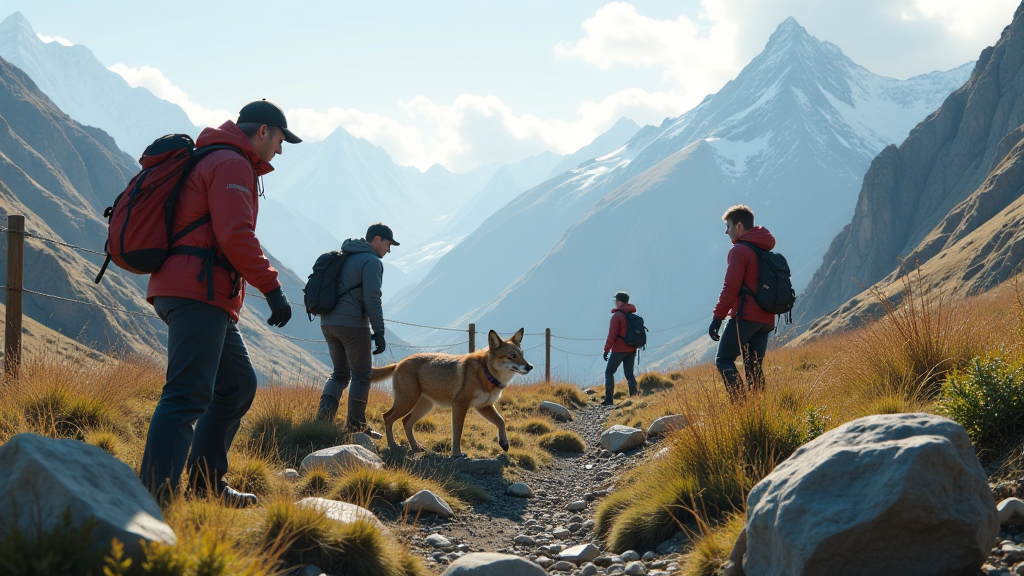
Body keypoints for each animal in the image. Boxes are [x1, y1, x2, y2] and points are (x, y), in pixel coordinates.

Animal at [376, 327, 536, 457]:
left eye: (522, 354)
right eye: (512, 356)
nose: (530, 367)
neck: (486, 373)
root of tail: (399, 363)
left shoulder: (483, 407)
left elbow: (501, 421)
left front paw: (504, 443)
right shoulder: (460, 406)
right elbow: (457, 433)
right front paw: (457, 454)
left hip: (424, 406)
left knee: (406, 421)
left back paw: (415, 447)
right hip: (408, 403)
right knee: (387, 417)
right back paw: (392, 444)